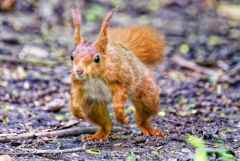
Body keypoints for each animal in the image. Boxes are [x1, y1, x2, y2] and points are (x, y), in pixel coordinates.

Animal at [70, 8, 166, 142]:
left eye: (97, 58)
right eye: (72, 56)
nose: (79, 71)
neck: (95, 77)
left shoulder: (120, 78)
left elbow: (119, 99)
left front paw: (121, 117)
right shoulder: (77, 82)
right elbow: (75, 95)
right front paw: (77, 112)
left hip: (146, 93)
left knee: (144, 116)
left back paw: (149, 129)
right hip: (92, 104)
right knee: (104, 123)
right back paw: (98, 135)